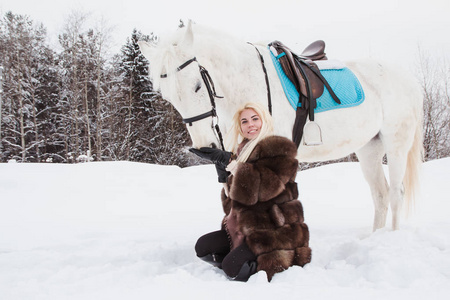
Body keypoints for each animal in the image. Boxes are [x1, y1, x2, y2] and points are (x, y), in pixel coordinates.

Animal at [140, 22, 422, 231]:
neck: (246, 80)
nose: (203, 147)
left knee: (395, 195)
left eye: (197, 86)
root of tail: (406, 77)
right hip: (369, 149)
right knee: (381, 195)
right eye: (168, 96)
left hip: (396, 145)